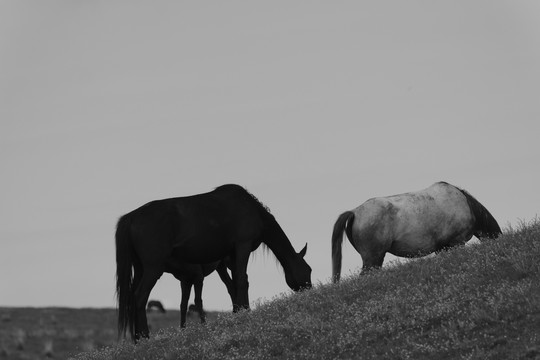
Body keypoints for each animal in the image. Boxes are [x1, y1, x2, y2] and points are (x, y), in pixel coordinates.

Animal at [115, 184, 310, 342]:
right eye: (309, 270)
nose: (310, 290)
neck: (252, 209)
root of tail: (131, 217)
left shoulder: (230, 256)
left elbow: (234, 283)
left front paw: (238, 313)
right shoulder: (243, 246)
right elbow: (242, 281)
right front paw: (245, 313)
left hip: (140, 268)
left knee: (133, 297)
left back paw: (137, 339)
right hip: (153, 269)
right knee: (140, 296)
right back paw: (145, 337)